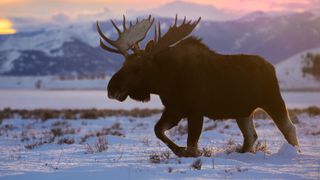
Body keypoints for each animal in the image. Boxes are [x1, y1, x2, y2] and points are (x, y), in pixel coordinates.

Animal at [96, 14, 298, 157]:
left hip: (272, 99)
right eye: (123, 64)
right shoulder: (174, 109)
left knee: (289, 128)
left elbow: (192, 144)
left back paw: (296, 152)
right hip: (243, 111)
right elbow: (158, 130)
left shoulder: (195, 110)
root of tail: (271, 67)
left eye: (137, 68)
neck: (165, 81)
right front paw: (179, 150)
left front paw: (188, 152)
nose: (111, 88)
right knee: (251, 136)